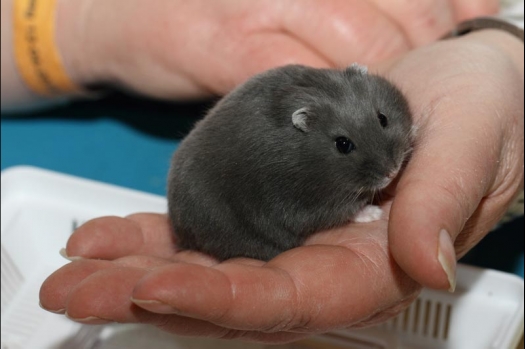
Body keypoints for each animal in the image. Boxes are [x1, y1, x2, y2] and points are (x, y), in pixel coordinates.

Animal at [168, 64, 414, 260]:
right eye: (343, 144)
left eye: (382, 118)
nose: (392, 172)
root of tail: (177, 229)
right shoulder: (310, 205)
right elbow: (348, 211)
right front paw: (374, 213)